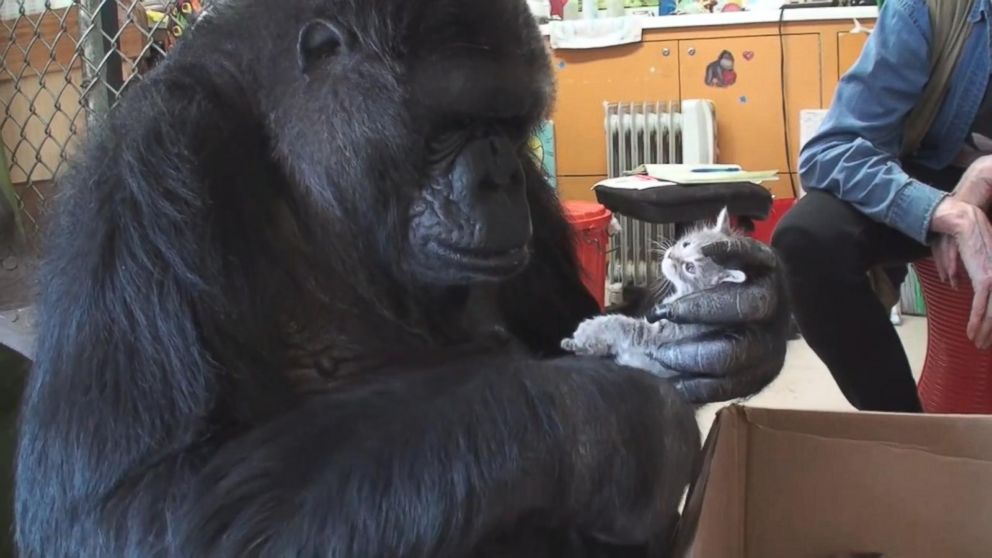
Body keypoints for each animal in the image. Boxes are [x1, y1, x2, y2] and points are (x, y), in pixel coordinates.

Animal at [13, 2, 736, 556]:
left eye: (509, 123)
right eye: (451, 123)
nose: (500, 176)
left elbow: (576, 325)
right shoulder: (152, 169)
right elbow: (130, 508)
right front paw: (613, 425)